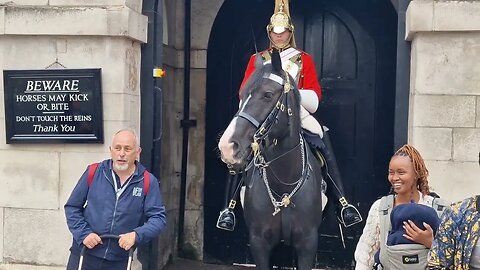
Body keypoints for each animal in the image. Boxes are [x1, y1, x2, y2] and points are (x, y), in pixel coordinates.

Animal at [219, 49, 324, 268]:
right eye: (242, 95)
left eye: (267, 95)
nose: (227, 146)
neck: (283, 183)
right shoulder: (259, 243)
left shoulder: (308, 244)